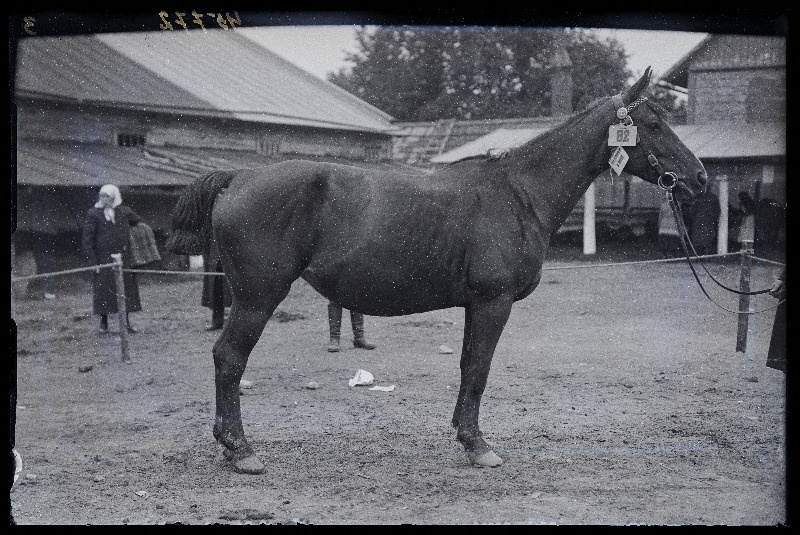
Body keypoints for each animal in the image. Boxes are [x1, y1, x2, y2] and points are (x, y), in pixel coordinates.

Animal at [167, 69, 708, 476]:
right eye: (653, 122)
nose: (699, 177)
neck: (518, 194)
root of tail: (239, 177)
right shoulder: (493, 302)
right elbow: (479, 369)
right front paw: (478, 446)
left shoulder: (476, 305)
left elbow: (468, 366)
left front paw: (465, 437)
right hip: (257, 297)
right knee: (229, 359)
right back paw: (240, 450)